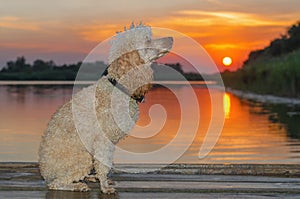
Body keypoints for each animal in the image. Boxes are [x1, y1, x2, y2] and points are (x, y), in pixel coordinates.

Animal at [38, 24, 172, 194]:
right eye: (148, 39)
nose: (172, 38)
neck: (118, 86)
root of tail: (45, 172)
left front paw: (102, 181)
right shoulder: (103, 140)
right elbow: (103, 164)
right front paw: (104, 186)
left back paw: (89, 178)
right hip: (82, 159)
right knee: (56, 183)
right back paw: (77, 185)